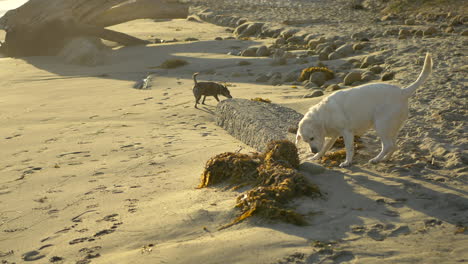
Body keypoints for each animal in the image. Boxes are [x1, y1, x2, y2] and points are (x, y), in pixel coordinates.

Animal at [296, 52, 432, 166]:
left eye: (312, 138)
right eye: (306, 141)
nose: (313, 151)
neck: (323, 115)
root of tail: (403, 92)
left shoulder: (347, 132)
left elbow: (349, 149)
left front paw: (347, 162)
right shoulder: (333, 135)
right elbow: (324, 148)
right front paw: (316, 157)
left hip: (381, 126)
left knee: (388, 145)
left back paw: (376, 159)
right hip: (391, 128)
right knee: (394, 145)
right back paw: (385, 159)